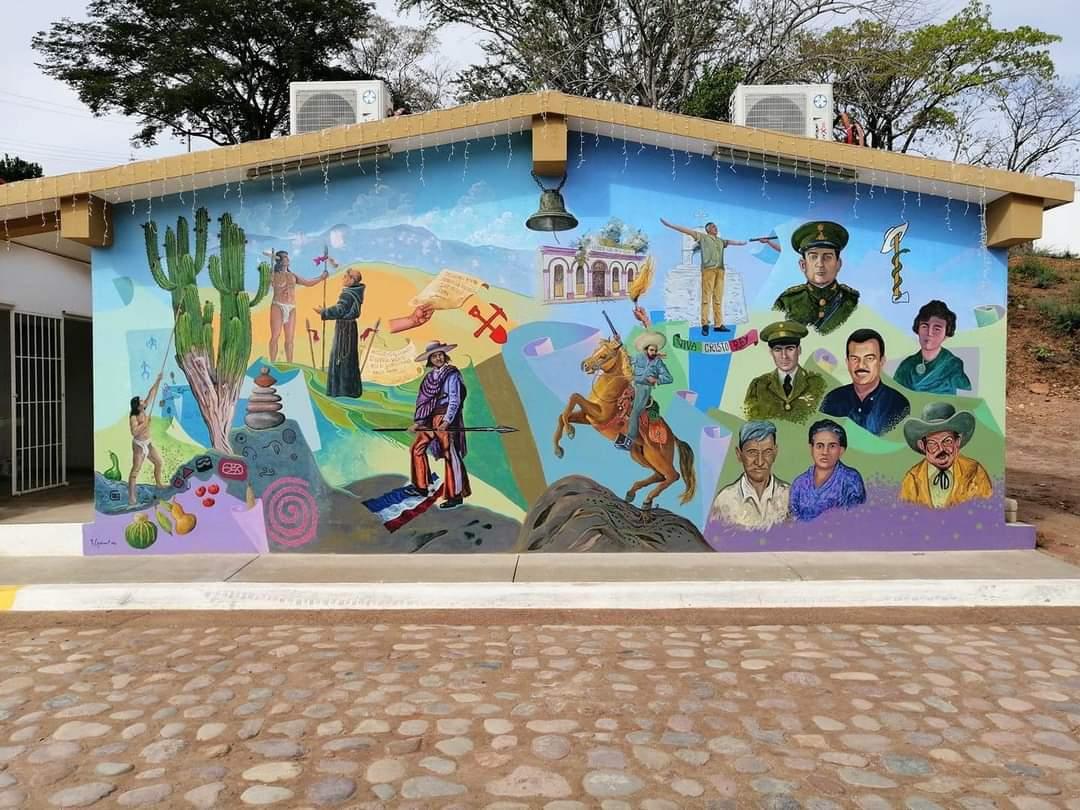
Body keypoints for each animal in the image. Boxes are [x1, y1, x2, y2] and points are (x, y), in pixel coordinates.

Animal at [552, 334, 695, 507]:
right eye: (595, 350)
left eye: (604, 355)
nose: (584, 365)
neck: (610, 393)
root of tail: (673, 436)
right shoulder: (588, 418)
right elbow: (563, 415)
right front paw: (558, 449)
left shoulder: (599, 416)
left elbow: (575, 397)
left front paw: (570, 431)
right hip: (639, 455)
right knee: (660, 475)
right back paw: (631, 493)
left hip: (657, 456)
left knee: (672, 475)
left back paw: (647, 500)